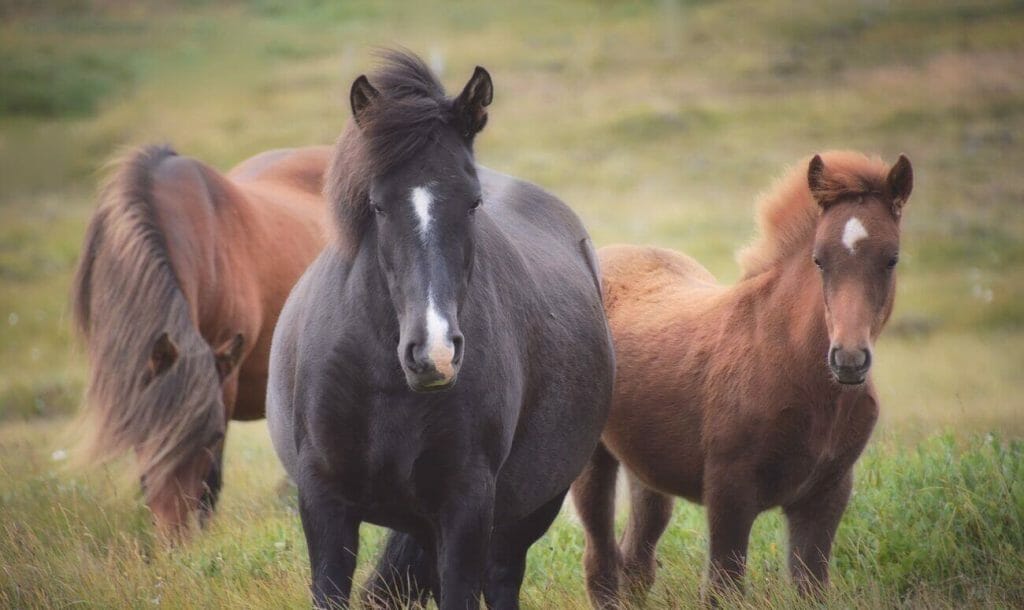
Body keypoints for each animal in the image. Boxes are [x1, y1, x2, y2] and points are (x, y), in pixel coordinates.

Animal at [266, 52, 614, 610]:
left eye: (472, 203)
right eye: (377, 205)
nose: (435, 354)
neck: (384, 382)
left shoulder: (465, 507)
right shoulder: (324, 502)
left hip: (526, 511)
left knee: (501, 577)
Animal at [573, 152, 917, 605]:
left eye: (892, 259)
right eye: (819, 259)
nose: (848, 359)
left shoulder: (826, 494)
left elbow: (810, 587)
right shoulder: (729, 492)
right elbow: (723, 587)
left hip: (646, 468)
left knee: (637, 561)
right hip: (592, 459)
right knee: (601, 564)